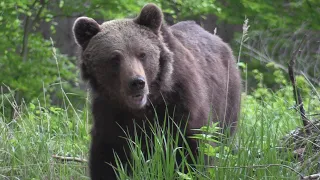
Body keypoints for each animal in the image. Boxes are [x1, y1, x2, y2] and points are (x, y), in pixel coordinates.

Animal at [72, 3, 241, 180]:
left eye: (142, 54)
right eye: (115, 58)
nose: (137, 82)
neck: (144, 107)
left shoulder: (180, 104)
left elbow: (193, 149)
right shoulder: (110, 114)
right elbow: (108, 158)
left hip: (227, 102)